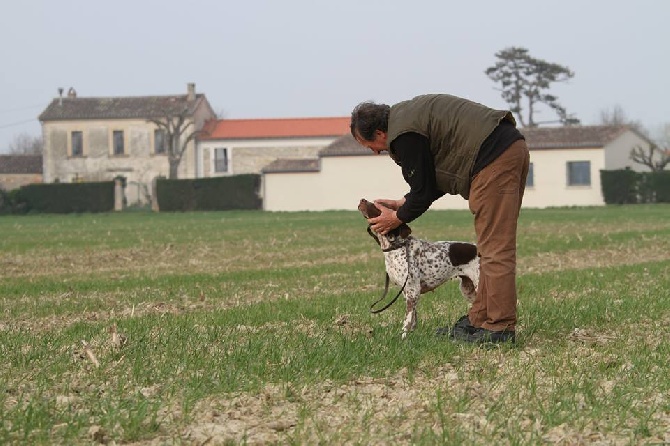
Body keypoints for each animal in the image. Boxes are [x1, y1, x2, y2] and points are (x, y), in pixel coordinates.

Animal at [360, 199, 480, 338]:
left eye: (379, 206)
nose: (362, 200)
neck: (397, 246)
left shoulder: (413, 290)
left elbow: (407, 320)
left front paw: (403, 337)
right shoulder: (408, 292)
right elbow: (413, 318)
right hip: (468, 289)